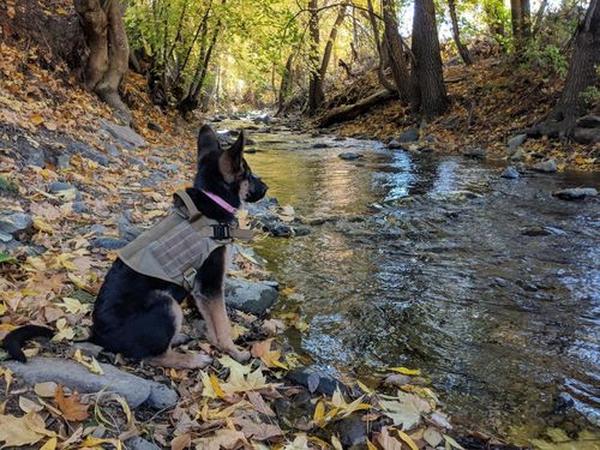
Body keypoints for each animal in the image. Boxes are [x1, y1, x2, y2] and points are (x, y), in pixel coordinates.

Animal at [1, 125, 270, 368]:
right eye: (248, 174)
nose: (267, 187)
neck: (211, 202)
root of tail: (97, 336)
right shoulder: (210, 284)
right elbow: (222, 323)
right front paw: (233, 352)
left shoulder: (200, 288)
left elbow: (211, 320)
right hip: (165, 303)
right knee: (153, 357)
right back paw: (191, 359)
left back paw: (178, 338)